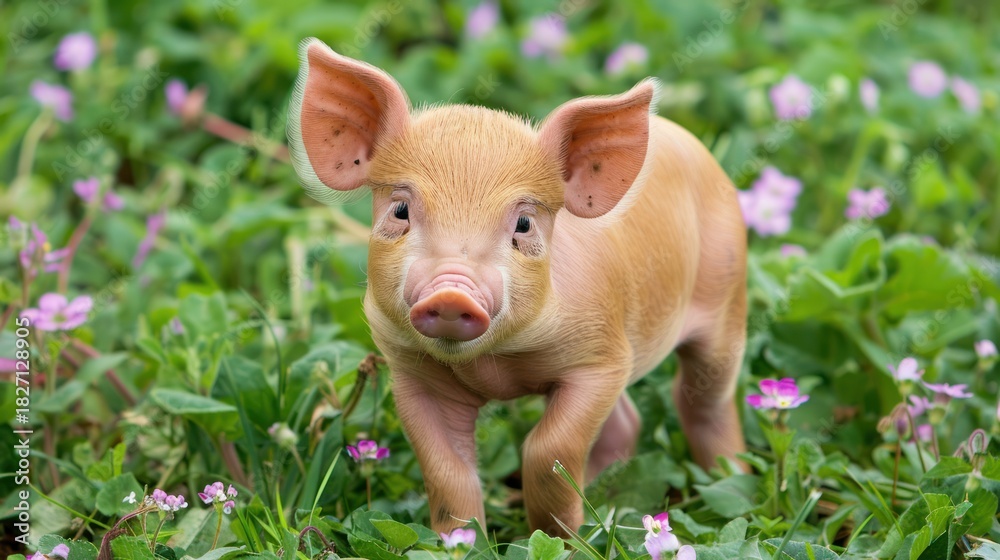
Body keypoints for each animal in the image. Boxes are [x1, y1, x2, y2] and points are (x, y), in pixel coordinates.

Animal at [287, 38, 747, 537]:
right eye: (401, 211)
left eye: (524, 223)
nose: (452, 292)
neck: (498, 365)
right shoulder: (412, 372)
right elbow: (447, 472)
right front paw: (458, 540)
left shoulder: (599, 358)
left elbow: (548, 449)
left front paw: (558, 538)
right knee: (629, 420)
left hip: (727, 298)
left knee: (703, 397)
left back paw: (731, 479)